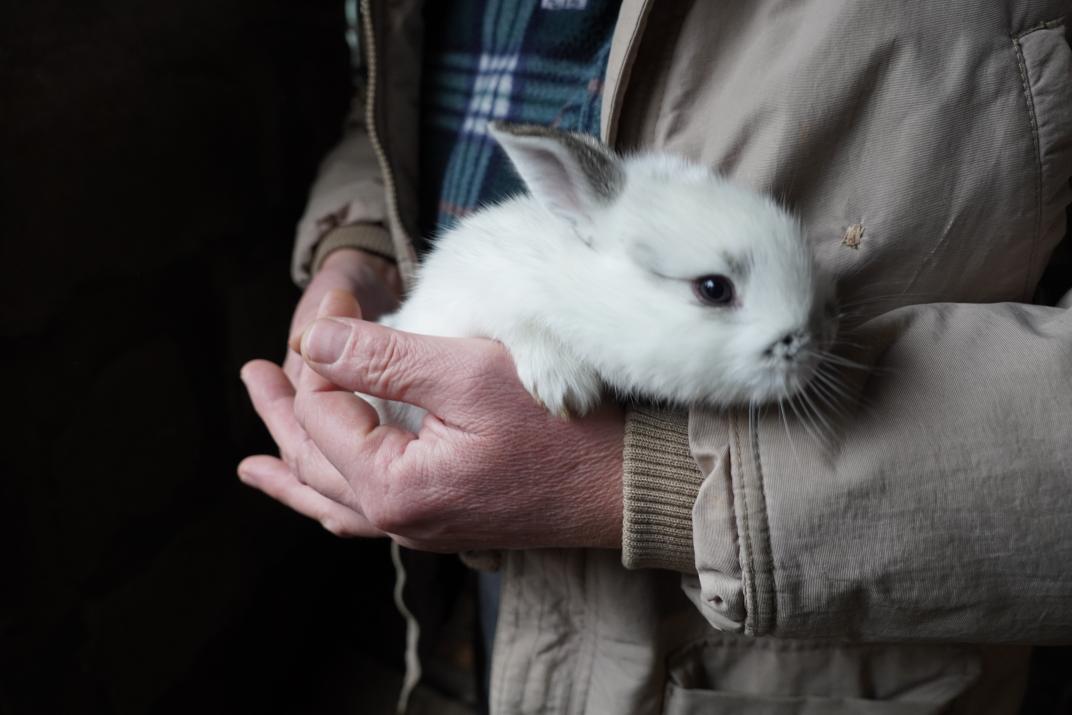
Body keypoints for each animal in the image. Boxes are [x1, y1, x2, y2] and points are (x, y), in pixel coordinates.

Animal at [371, 122, 836, 432]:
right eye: (713, 289)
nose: (811, 346)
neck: (575, 290)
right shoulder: (480, 297)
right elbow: (519, 324)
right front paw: (566, 388)